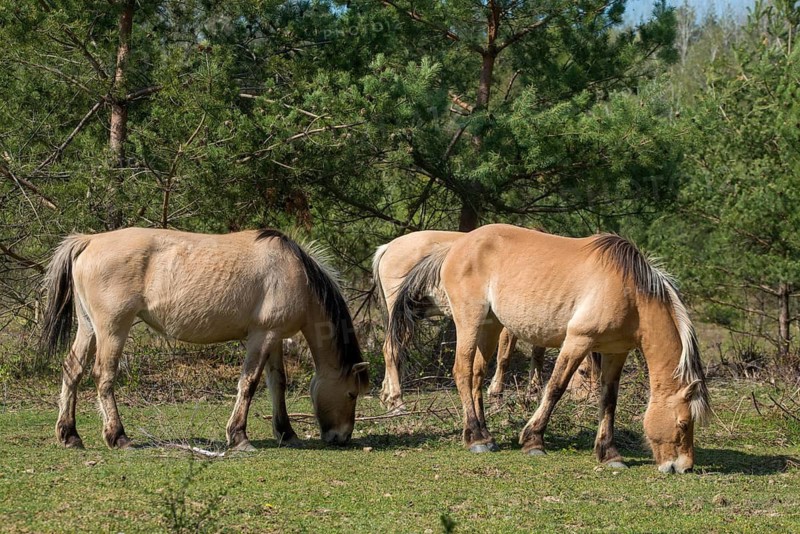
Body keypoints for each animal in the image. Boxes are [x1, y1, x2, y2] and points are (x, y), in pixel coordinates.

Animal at [41, 228, 369, 451]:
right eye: (351, 394)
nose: (341, 437)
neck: (294, 270)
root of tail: (89, 240)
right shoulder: (262, 336)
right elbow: (249, 383)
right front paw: (239, 436)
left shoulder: (274, 337)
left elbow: (278, 383)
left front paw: (286, 432)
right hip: (112, 329)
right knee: (103, 376)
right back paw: (118, 436)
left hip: (89, 329)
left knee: (72, 370)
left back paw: (70, 435)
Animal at [373, 231, 598, 411]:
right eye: (584, 372)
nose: (591, 399)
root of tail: (388, 247)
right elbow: (504, 358)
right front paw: (496, 394)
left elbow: (538, 354)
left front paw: (533, 392)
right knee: (391, 350)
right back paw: (397, 400)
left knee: (394, 350)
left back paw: (387, 396)